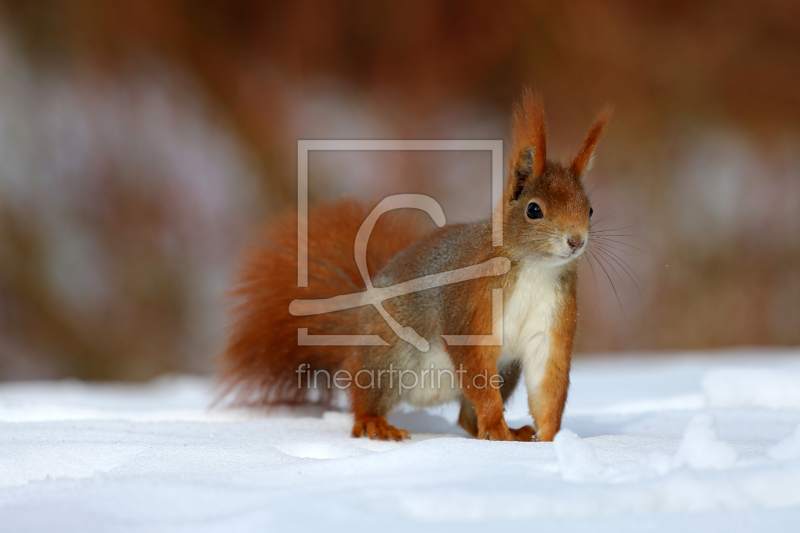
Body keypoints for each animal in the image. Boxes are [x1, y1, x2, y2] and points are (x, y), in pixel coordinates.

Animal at [216, 90, 608, 440]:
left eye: (590, 210)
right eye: (534, 210)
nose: (576, 241)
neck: (534, 267)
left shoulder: (552, 321)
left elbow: (548, 382)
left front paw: (550, 439)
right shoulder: (468, 307)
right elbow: (476, 369)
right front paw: (498, 425)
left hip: (505, 370)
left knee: (465, 418)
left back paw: (508, 433)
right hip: (389, 356)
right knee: (366, 400)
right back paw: (377, 424)